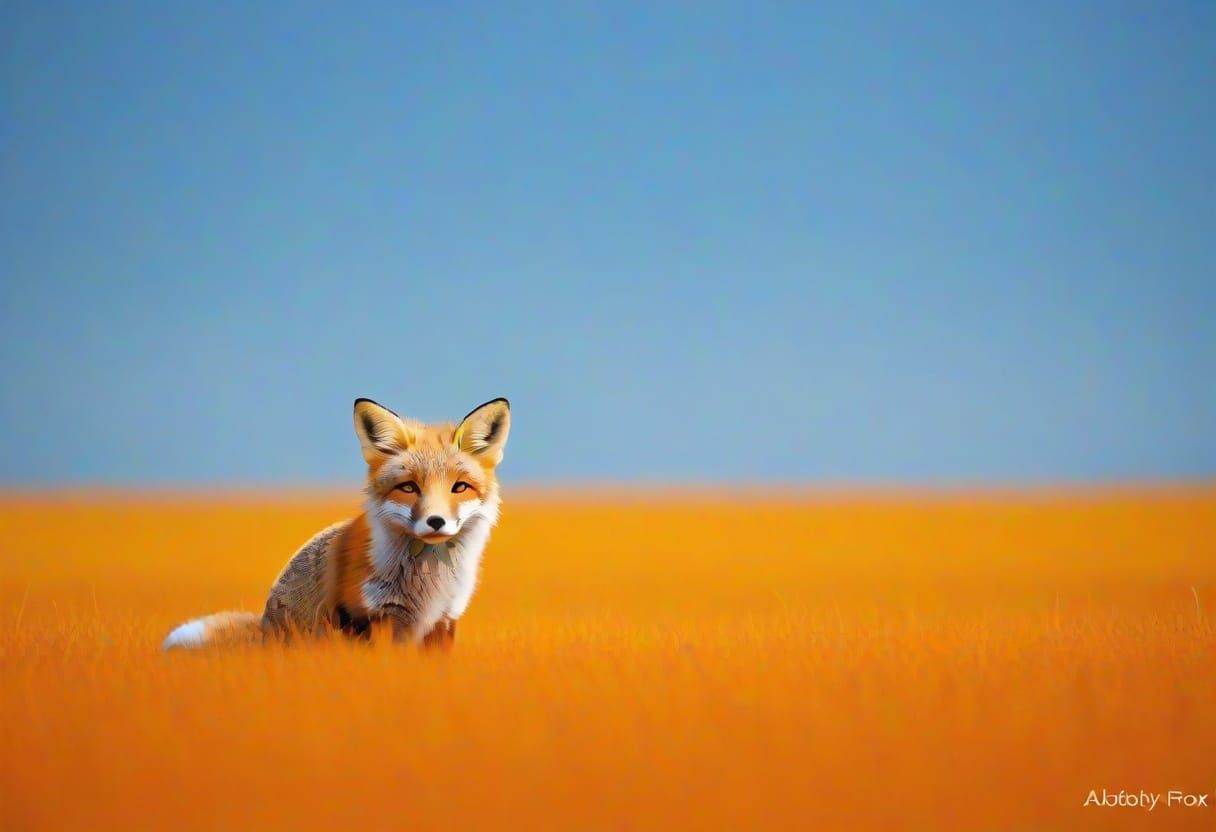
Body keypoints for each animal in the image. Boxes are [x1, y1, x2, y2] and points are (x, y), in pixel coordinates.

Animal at [163, 396, 510, 650]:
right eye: (409, 487)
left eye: (459, 487)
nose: (435, 521)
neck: (428, 580)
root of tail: (263, 626)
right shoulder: (366, 617)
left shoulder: (443, 621)